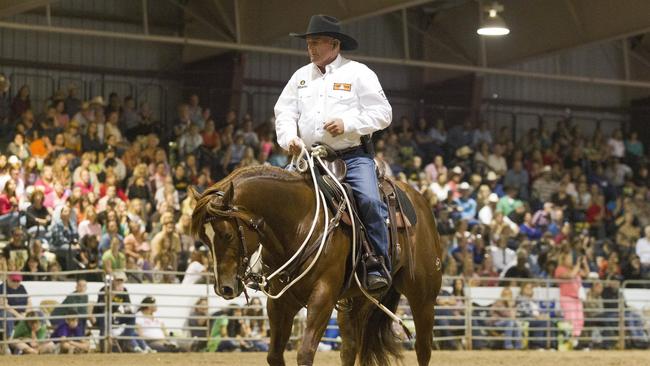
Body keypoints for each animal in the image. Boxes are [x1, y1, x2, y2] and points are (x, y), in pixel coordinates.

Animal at [187, 164, 440, 364]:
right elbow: (274, 355)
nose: (224, 288)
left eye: (227, 235)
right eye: (203, 239)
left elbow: (305, 353)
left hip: (423, 298)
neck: (300, 222)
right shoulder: (280, 302)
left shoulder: (323, 296)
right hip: (359, 300)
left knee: (423, 348)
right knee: (350, 348)